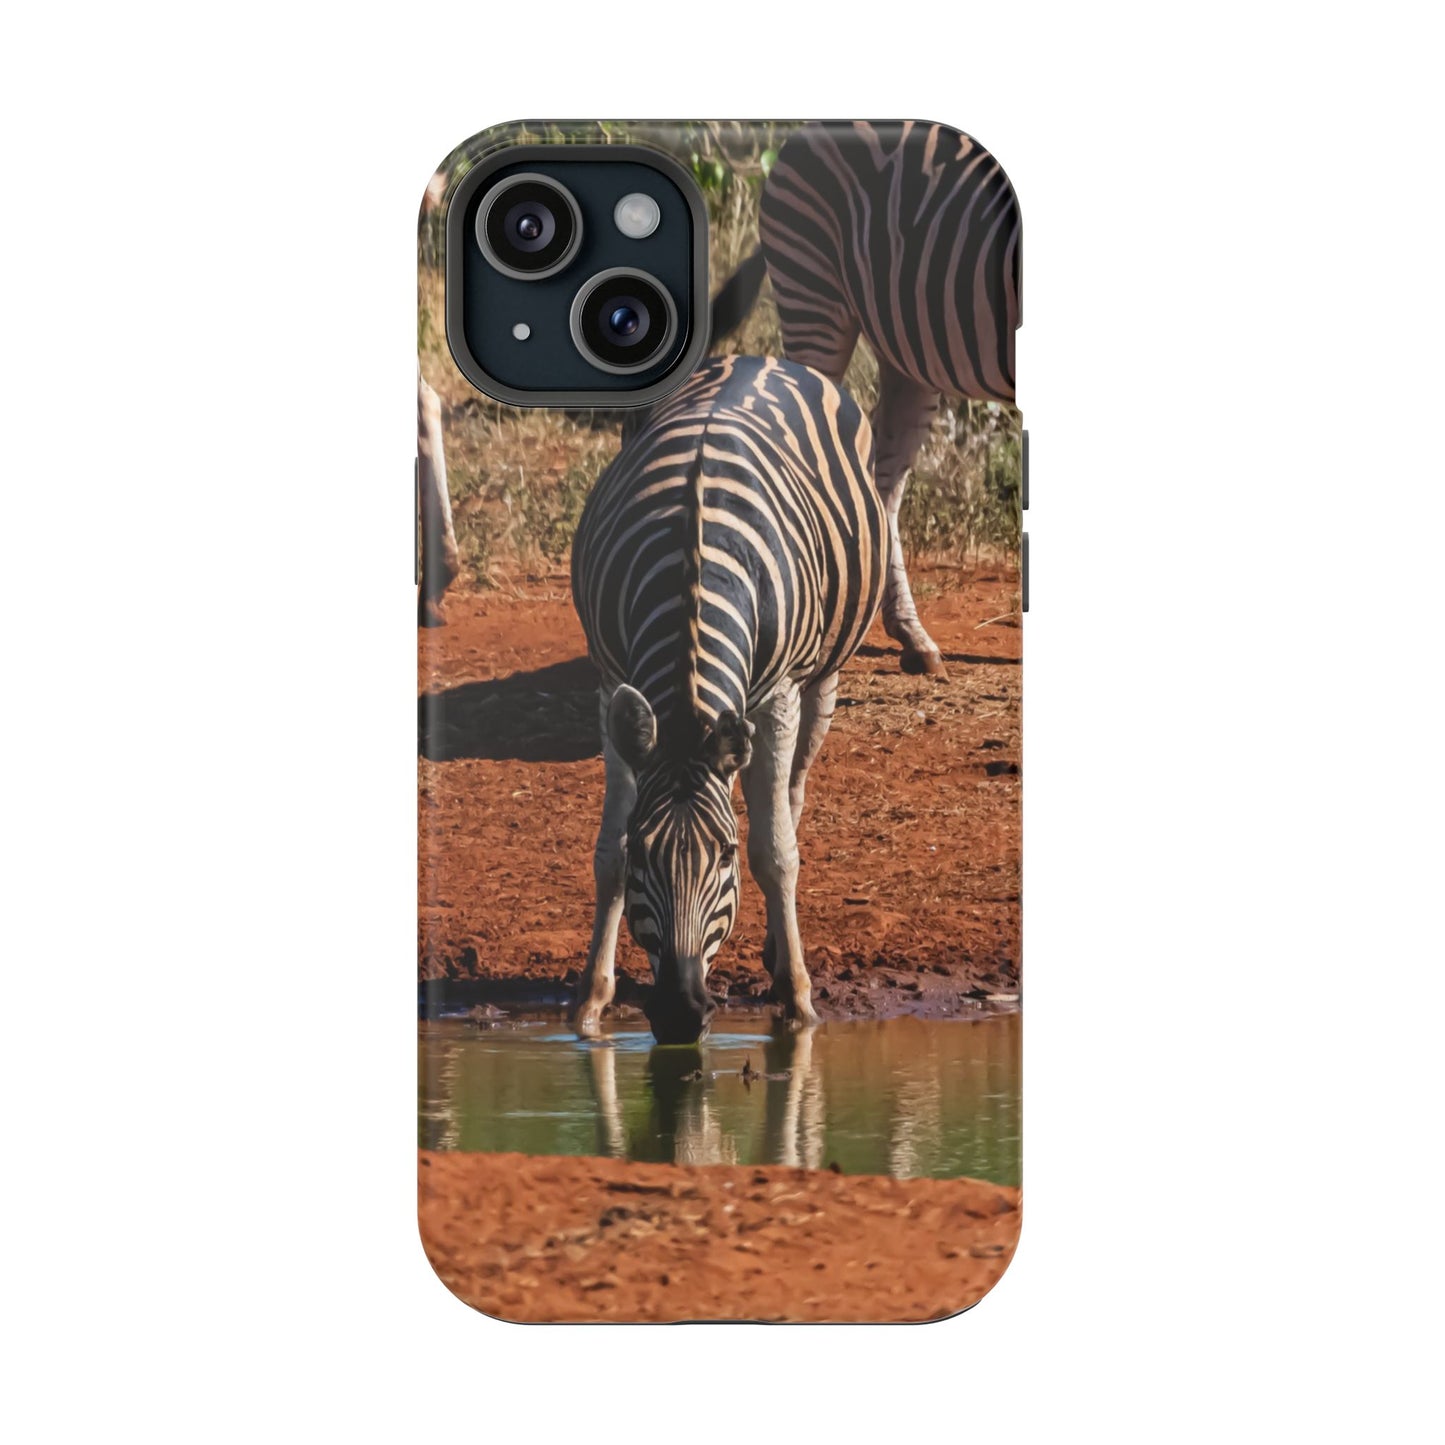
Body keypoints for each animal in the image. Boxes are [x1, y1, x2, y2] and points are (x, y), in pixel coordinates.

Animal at [571, 354, 886, 1043]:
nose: (681, 1013)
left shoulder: (778, 696)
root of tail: (760, 357)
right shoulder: (609, 682)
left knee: (791, 796)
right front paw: (591, 1001)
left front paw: (798, 1000)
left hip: (820, 677)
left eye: (725, 855)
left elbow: (776, 852)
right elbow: (606, 854)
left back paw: (778, 952)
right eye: (646, 851)